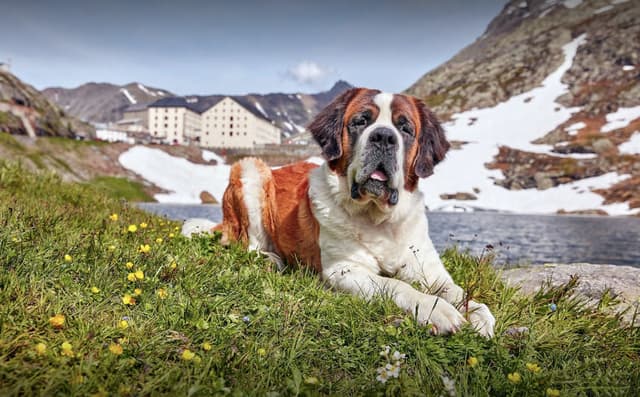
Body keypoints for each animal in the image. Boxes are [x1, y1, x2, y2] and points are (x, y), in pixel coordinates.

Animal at [184, 88, 496, 336]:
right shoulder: (344, 270)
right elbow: (396, 285)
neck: (379, 220)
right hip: (250, 169)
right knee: (246, 245)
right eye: (361, 121)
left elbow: (457, 292)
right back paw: (272, 259)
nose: (384, 137)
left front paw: (479, 314)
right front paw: (437, 310)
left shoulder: (430, 272)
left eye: (405, 128)